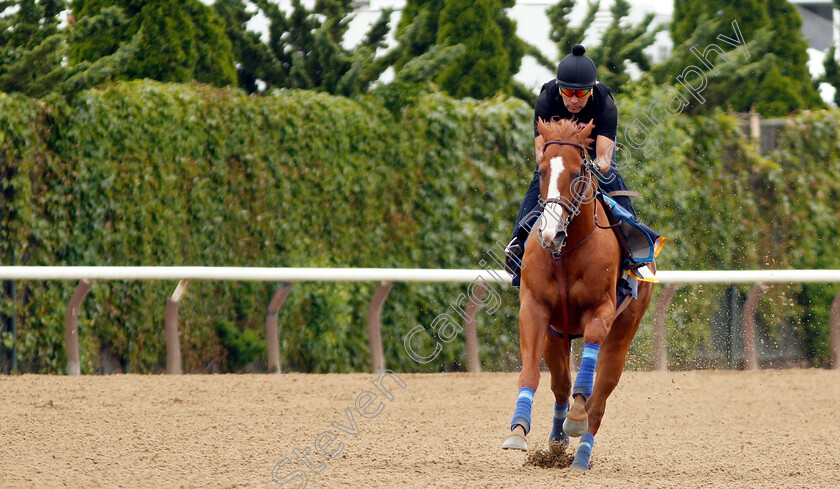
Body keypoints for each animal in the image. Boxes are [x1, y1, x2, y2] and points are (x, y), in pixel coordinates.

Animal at [498, 117, 656, 468]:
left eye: (575, 173)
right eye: (542, 171)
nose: (550, 233)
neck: (566, 252)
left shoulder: (603, 308)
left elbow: (590, 366)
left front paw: (577, 416)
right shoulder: (535, 309)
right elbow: (531, 373)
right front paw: (518, 430)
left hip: (624, 332)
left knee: (601, 396)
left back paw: (582, 455)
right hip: (557, 335)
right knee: (560, 384)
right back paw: (557, 440)